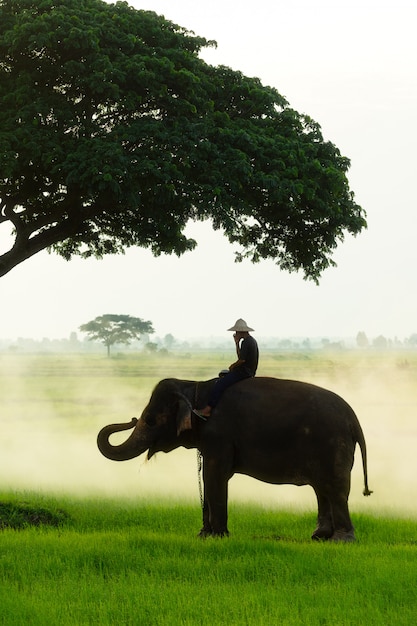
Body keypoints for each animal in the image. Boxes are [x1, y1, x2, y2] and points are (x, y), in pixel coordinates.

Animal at [96, 376, 370, 540]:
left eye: (151, 420)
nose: (131, 418)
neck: (195, 386)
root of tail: (353, 418)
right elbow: (209, 478)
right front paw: (204, 536)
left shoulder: (219, 436)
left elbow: (214, 476)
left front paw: (218, 536)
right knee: (321, 489)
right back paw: (319, 537)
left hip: (331, 445)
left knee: (334, 488)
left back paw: (342, 540)